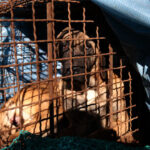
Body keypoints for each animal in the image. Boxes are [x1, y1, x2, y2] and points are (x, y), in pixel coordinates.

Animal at [0, 0, 146, 148]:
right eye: (64, 46)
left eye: (88, 47)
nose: (71, 69)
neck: (89, 87)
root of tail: (14, 97)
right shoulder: (78, 122)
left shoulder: (121, 120)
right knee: (21, 134)